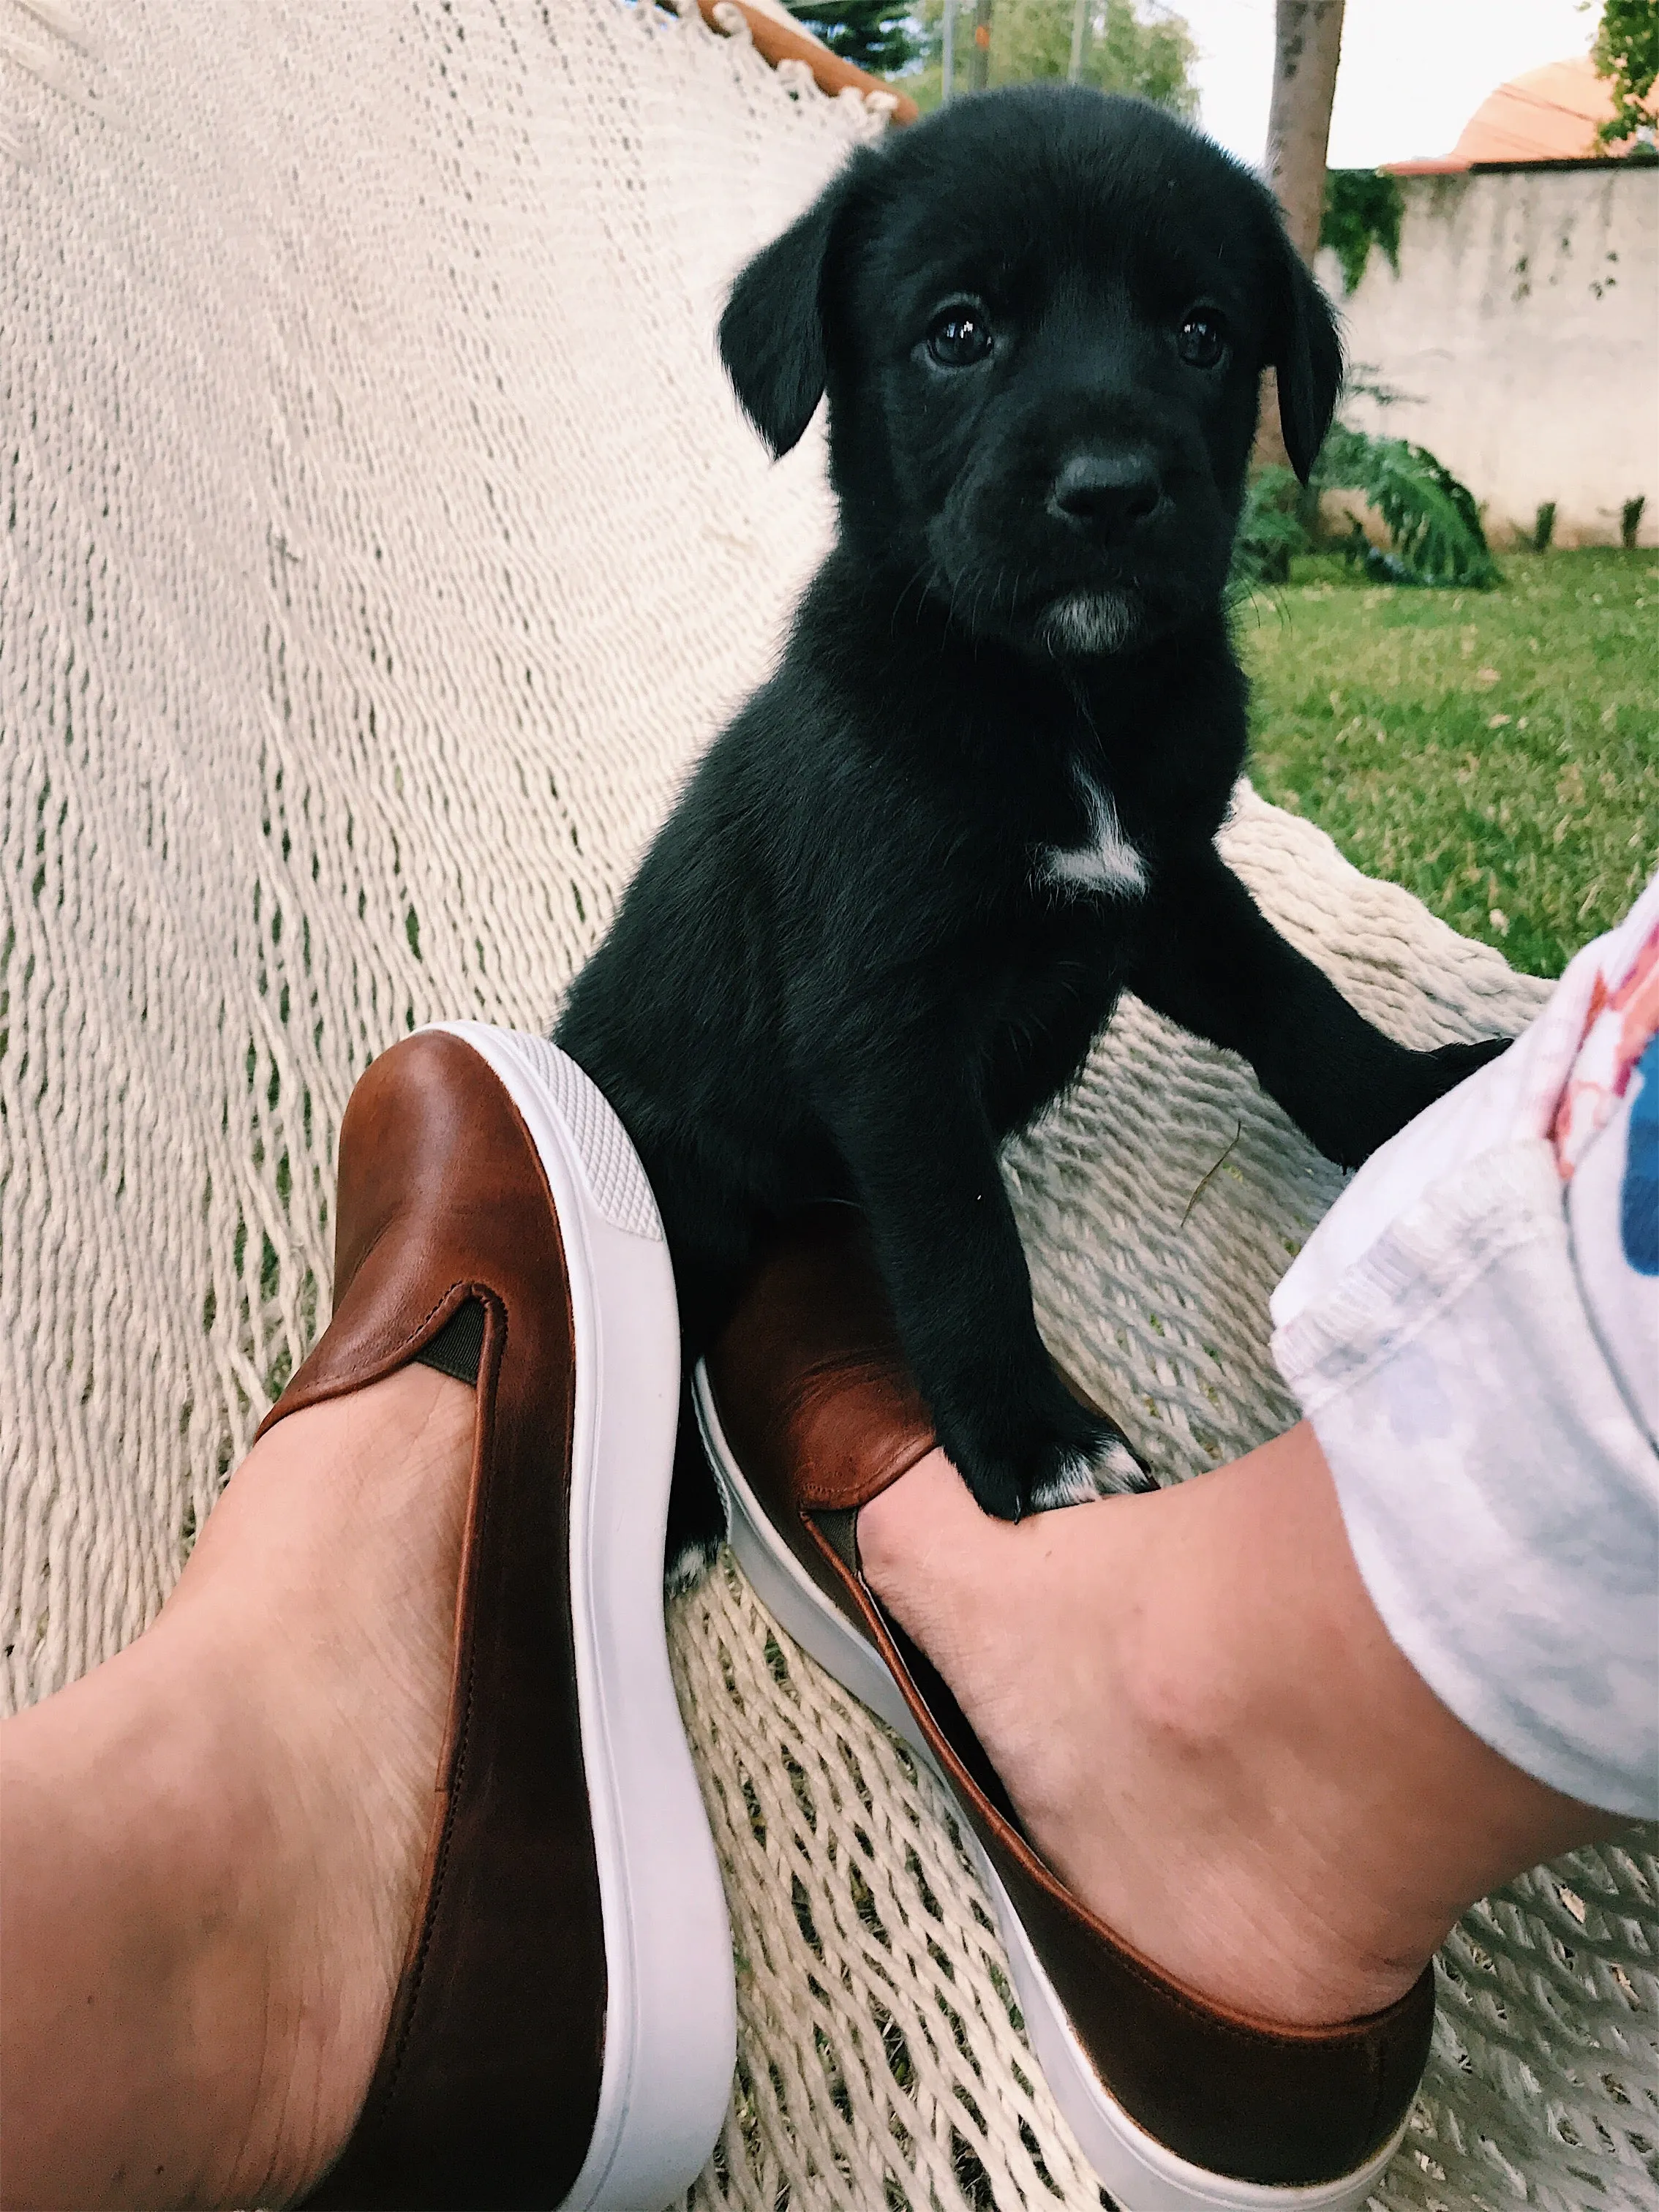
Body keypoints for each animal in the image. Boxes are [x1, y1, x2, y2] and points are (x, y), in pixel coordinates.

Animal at [560, 81, 1504, 1575]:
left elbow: (1299, 1007)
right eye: (958, 331)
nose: (1109, 491)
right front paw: (1032, 1437)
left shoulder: (1172, 891)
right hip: (679, 1179)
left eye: (1201, 332)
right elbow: (959, 1247)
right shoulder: (888, 1026)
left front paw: (1417, 1099)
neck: (1061, 701)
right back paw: (675, 1511)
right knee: (664, 1324)